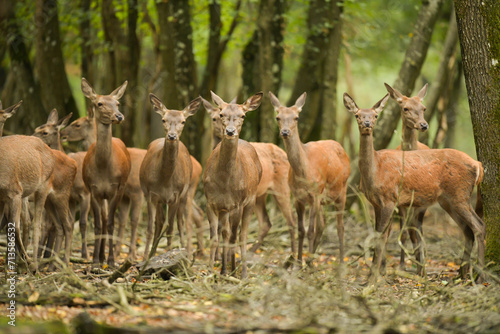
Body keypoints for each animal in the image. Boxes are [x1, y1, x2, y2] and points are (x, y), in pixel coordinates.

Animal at [81, 77, 131, 268]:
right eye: (99, 103)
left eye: (117, 103)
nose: (119, 116)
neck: (103, 168)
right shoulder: (92, 188)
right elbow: (97, 225)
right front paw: (95, 261)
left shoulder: (117, 188)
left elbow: (110, 224)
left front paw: (111, 261)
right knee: (101, 220)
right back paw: (100, 256)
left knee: (106, 220)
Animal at [201, 98, 296, 254]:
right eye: (214, 118)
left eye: (242, 116)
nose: (228, 131)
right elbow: (221, 230)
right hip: (260, 195)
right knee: (266, 222)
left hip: (282, 187)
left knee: (291, 220)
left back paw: (293, 258)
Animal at [204, 90, 266, 278]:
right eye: (221, 114)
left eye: (243, 115)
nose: (230, 131)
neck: (224, 183)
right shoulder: (211, 203)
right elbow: (215, 239)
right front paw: (210, 272)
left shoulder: (238, 203)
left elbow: (234, 238)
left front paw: (232, 273)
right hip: (226, 209)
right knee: (226, 233)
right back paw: (225, 269)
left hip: (251, 200)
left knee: (242, 235)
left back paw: (241, 272)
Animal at [268, 92, 350, 266]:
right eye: (278, 117)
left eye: (296, 117)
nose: (285, 132)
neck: (303, 174)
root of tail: (341, 147)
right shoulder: (298, 197)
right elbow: (301, 230)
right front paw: (299, 262)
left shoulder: (315, 194)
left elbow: (310, 230)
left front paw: (306, 264)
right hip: (323, 200)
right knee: (323, 224)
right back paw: (312, 257)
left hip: (342, 190)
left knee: (340, 226)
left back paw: (340, 261)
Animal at [344, 92, 484, 280]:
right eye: (357, 115)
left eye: (375, 115)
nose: (367, 124)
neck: (375, 172)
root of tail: (477, 164)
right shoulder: (377, 203)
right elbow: (380, 236)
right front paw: (377, 274)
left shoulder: (389, 199)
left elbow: (381, 237)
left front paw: (372, 279)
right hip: (448, 200)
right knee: (468, 230)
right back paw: (462, 274)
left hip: (459, 194)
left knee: (479, 226)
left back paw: (481, 276)